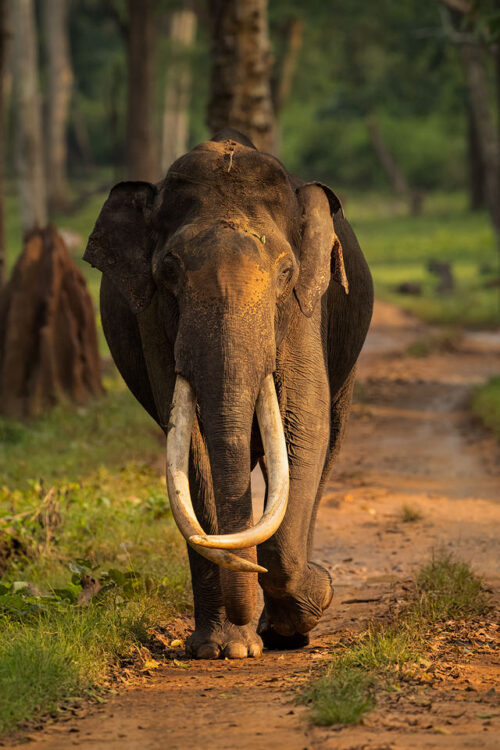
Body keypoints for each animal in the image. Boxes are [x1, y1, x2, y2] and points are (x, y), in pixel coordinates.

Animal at [84, 132, 374, 660]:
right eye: (169, 271)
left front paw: (312, 602)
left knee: (331, 439)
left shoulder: (308, 307)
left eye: (286, 272)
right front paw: (228, 649)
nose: (327, 582)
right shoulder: (153, 317)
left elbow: (304, 424)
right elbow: (191, 446)